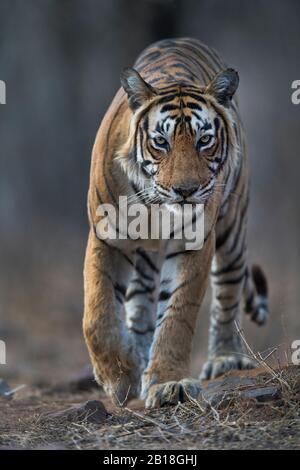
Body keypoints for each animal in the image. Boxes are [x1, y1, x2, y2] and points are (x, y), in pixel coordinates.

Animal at [82, 38, 270, 410]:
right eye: (161, 142)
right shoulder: (106, 237)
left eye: (204, 140)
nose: (185, 190)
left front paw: (169, 384)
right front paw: (119, 378)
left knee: (227, 291)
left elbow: (178, 316)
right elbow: (97, 315)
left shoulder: (195, 243)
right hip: (144, 255)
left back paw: (225, 358)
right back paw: (136, 357)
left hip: (232, 229)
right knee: (139, 304)